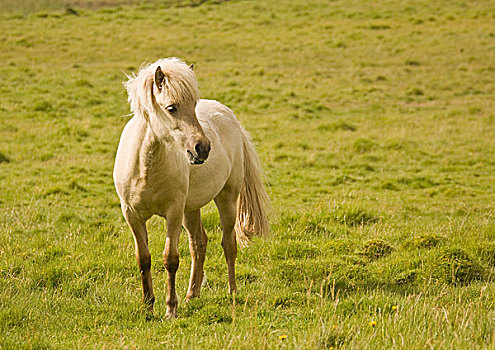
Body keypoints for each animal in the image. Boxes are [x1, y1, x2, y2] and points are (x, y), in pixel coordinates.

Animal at [113, 56, 272, 318]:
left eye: (193, 104)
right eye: (171, 108)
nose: (203, 148)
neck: (145, 167)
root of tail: (230, 116)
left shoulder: (173, 213)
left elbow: (170, 259)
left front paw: (170, 309)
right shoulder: (132, 215)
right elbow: (143, 259)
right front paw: (148, 307)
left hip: (226, 199)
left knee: (228, 243)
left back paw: (232, 291)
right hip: (191, 209)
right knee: (199, 243)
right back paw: (191, 295)